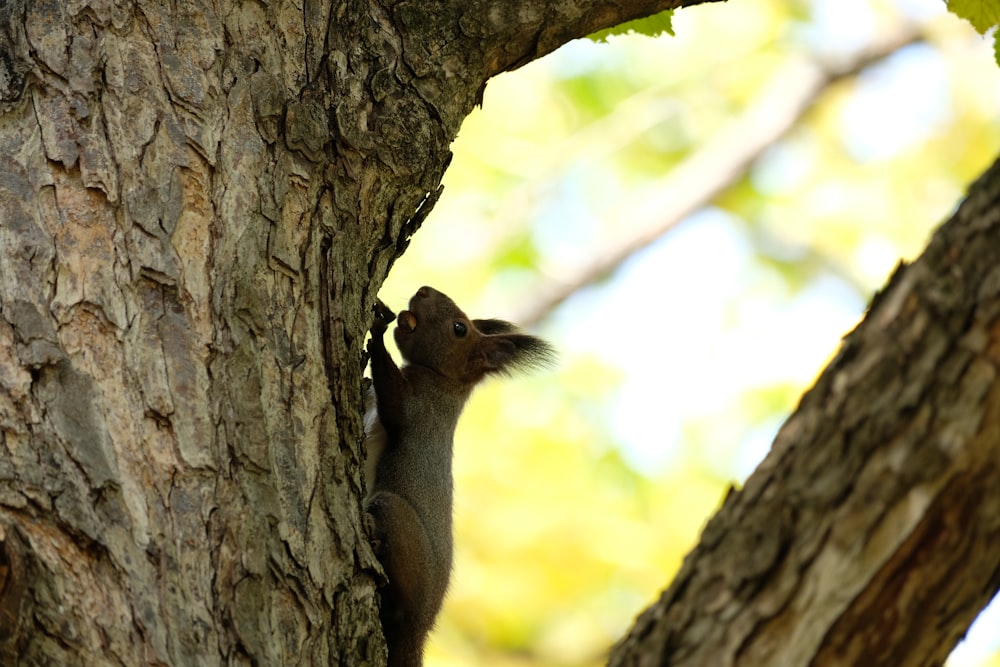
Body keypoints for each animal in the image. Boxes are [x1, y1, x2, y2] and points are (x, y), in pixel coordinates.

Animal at [366, 286, 556, 667]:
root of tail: (420, 632)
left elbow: (393, 403)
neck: (445, 383)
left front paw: (377, 330)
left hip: (397, 521)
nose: (424, 290)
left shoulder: (420, 410)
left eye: (459, 329)